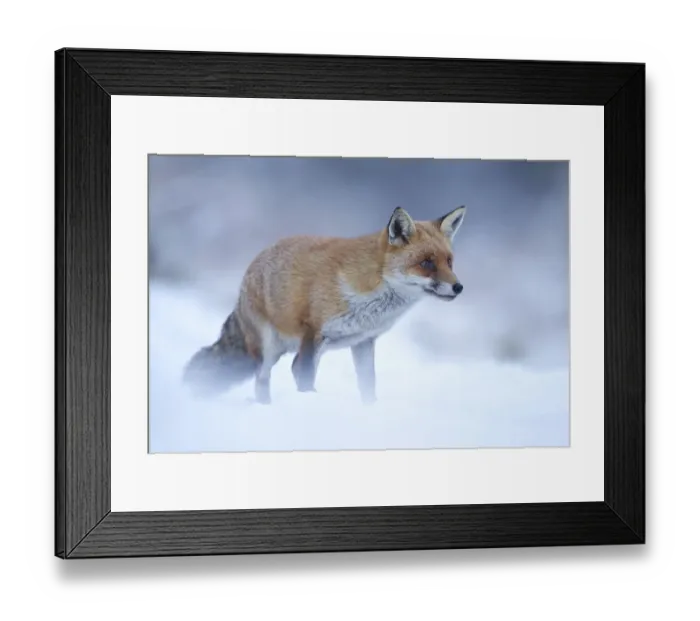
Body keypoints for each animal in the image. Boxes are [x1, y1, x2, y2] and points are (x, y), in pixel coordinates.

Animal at [183, 205, 466, 405]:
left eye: (449, 262)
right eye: (427, 263)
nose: (458, 287)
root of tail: (252, 265)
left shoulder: (363, 341)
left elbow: (368, 385)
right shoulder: (314, 332)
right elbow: (304, 375)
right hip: (269, 348)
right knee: (261, 380)